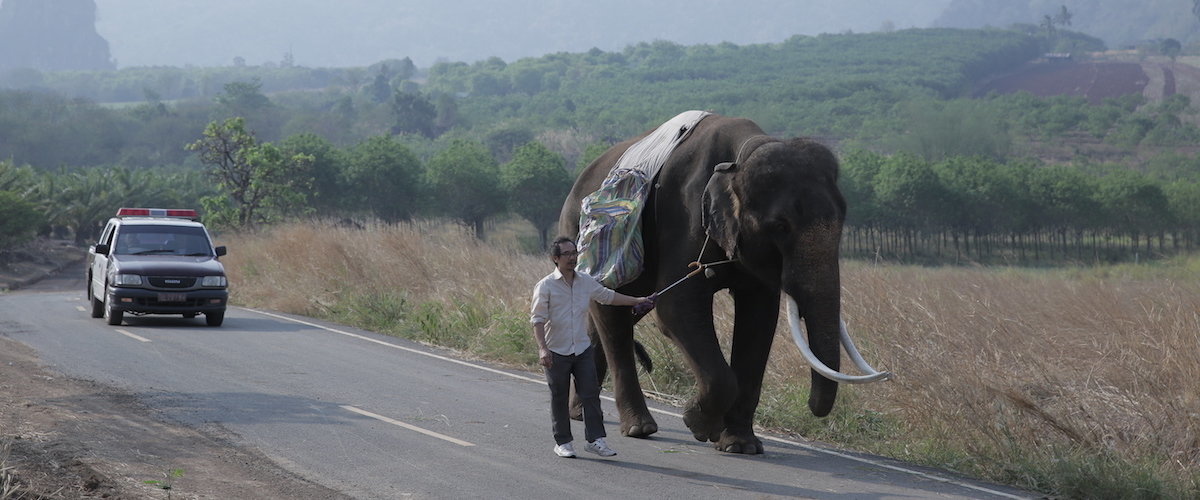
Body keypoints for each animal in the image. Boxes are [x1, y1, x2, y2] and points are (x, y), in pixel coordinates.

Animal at [556, 112, 888, 450]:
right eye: (781, 226)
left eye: (842, 223)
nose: (811, 407)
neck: (741, 156)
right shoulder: (684, 214)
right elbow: (677, 309)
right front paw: (700, 425)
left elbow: (759, 320)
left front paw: (740, 445)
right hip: (585, 239)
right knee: (613, 316)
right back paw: (640, 428)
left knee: (614, 314)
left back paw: (582, 413)